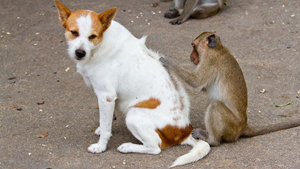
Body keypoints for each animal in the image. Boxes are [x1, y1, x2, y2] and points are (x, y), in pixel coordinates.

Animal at [55, 0, 209, 167]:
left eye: (92, 36)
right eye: (74, 32)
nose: (80, 53)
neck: (101, 44)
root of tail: (185, 132)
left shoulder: (106, 96)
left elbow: (106, 127)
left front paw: (101, 146)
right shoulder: (109, 98)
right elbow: (107, 121)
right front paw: (102, 128)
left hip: (133, 115)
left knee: (155, 148)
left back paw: (128, 147)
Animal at [161, 32, 300, 147]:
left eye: (193, 46)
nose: (191, 56)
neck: (217, 48)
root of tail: (243, 125)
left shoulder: (210, 62)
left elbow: (196, 82)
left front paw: (167, 62)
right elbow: (204, 87)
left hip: (231, 127)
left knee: (215, 106)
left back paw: (213, 140)